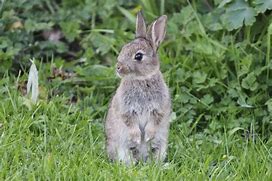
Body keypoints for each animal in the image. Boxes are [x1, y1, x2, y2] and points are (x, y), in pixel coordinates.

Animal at [105, 10, 171, 164]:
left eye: (139, 56)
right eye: (123, 49)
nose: (118, 67)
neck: (142, 79)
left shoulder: (158, 109)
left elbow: (153, 123)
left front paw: (146, 137)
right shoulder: (126, 110)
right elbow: (130, 123)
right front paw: (137, 138)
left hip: (160, 146)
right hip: (123, 148)